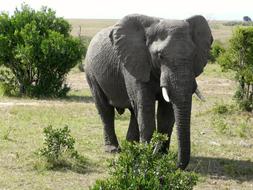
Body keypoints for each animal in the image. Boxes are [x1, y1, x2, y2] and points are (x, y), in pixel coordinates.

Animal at [85, 14, 213, 170]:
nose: (176, 165)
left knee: (133, 111)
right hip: (91, 73)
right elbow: (145, 107)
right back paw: (114, 150)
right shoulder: (134, 62)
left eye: (194, 55)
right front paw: (147, 156)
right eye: (160, 56)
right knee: (106, 110)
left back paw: (131, 148)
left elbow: (166, 112)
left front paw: (161, 156)